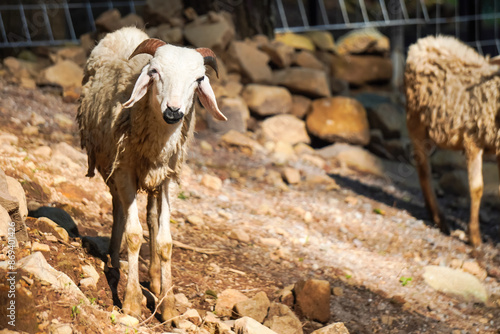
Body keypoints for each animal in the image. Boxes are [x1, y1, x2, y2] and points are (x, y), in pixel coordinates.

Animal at [76, 26, 227, 320]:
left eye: (199, 79)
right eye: (154, 71)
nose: (174, 111)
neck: (158, 141)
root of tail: (126, 30)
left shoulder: (169, 178)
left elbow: (165, 241)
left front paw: (167, 305)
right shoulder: (124, 170)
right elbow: (134, 236)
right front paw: (132, 301)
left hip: (154, 180)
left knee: (152, 218)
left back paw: (156, 279)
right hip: (113, 167)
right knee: (119, 210)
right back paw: (114, 260)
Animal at [404, 35, 498, 247]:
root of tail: (425, 42)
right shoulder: (472, 139)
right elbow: (477, 188)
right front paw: (475, 237)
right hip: (416, 119)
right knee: (424, 168)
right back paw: (439, 219)